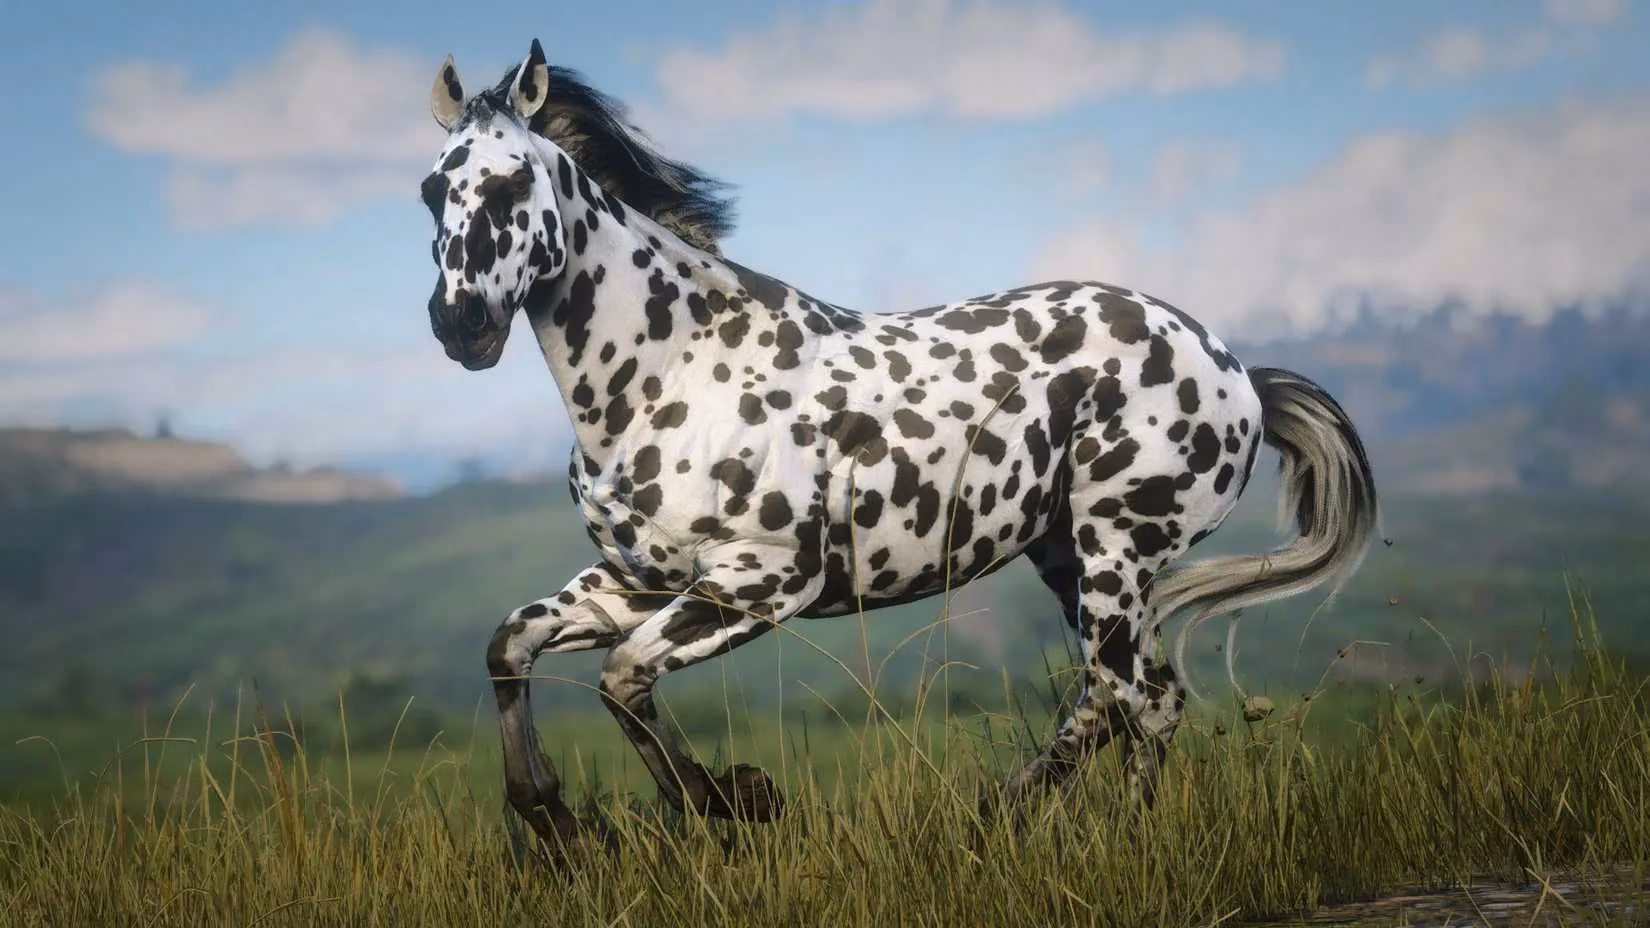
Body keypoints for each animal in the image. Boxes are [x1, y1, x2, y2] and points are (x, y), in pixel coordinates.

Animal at [419, 39, 1379, 849]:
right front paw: (555, 820)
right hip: (1067, 553)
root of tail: (1239, 374)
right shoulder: (634, 581)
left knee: (1128, 698)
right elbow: (511, 645)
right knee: (1134, 702)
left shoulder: (762, 584)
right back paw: (1037, 821)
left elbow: (622, 677)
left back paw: (1073, 831)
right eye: (433, 191)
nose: (461, 324)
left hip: (1118, 550)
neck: (671, 371)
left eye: (512, 184)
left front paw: (737, 801)